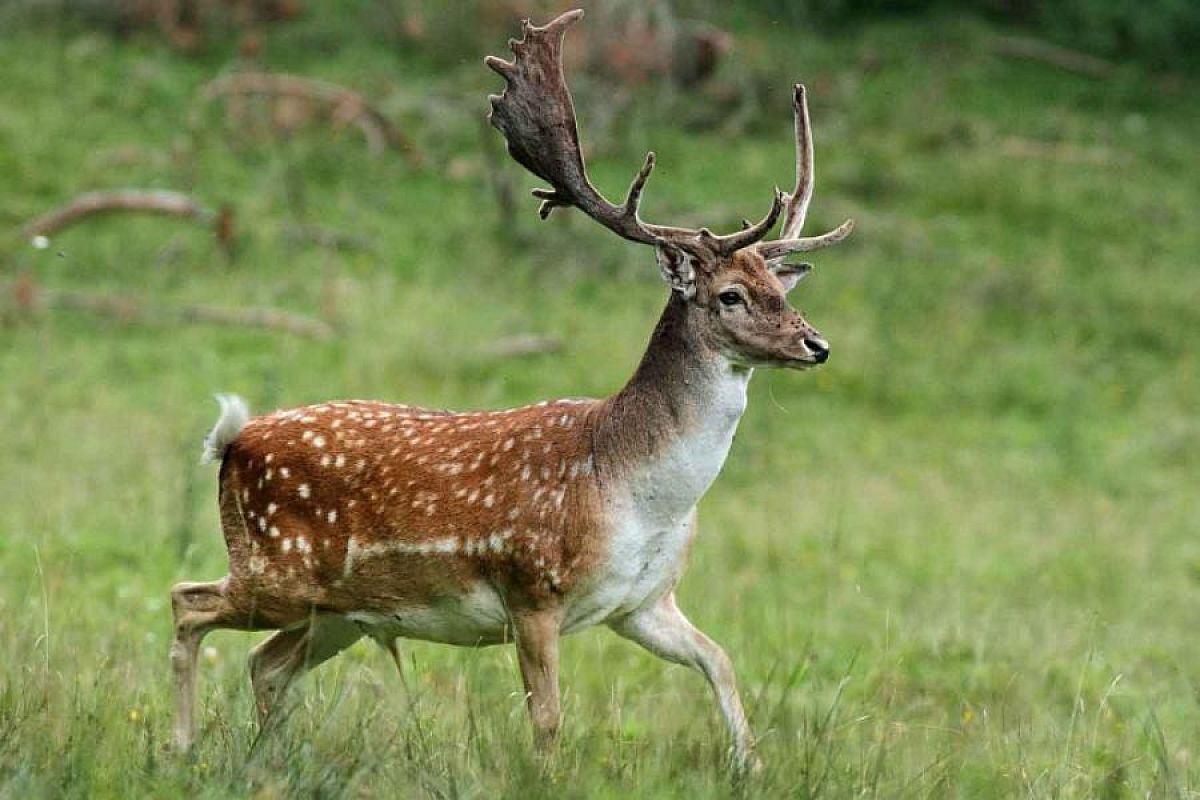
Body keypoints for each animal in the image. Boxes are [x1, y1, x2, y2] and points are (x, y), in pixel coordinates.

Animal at [175, 4, 854, 767]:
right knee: (187, 604)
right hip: (278, 570)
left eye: (780, 287)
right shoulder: (532, 587)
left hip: (340, 611)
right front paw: (546, 776)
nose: (816, 344)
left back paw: (271, 759)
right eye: (731, 295)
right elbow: (549, 718)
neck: (636, 493)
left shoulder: (644, 603)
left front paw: (750, 766)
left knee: (264, 662)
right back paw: (181, 744)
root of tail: (232, 443)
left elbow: (720, 660)